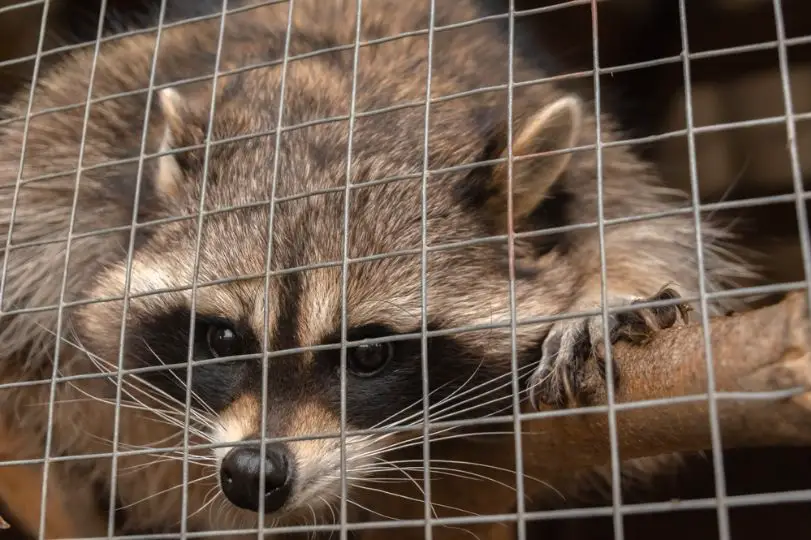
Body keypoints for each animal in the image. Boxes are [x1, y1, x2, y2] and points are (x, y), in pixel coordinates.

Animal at [0, 1, 756, 540]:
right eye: (222, 338)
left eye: (368, 355)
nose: (252, 474)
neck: (345, 113)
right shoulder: (81, 150)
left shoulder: (587, 164)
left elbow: (637, 225)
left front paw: (606, 287)